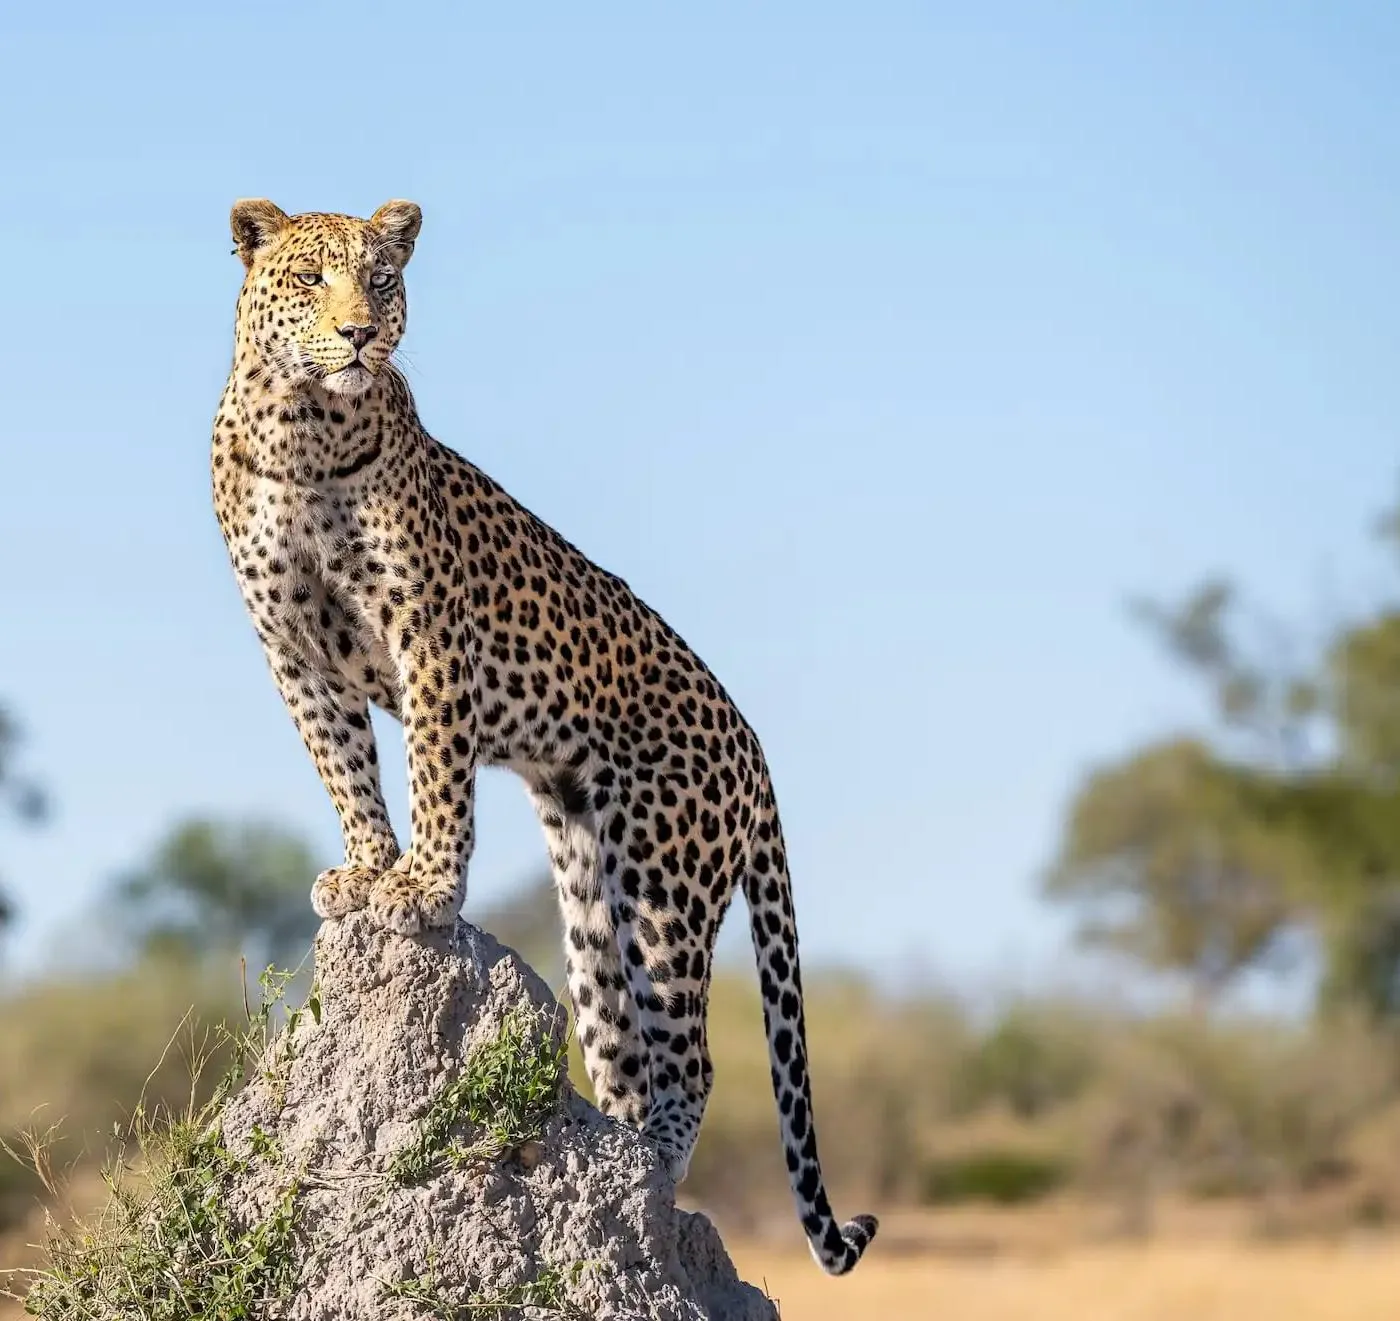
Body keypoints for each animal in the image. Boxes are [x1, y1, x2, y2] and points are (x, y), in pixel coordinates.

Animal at [211, 198, 878, 1275]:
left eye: (381, 279)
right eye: (311, 278)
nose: (358, 332)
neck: (302, 428)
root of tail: (754, 745)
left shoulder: (428, 635)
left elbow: (433, 774)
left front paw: (424, 886)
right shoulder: (291, 649)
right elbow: (344, 766)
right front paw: (366, 870)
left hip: (664, 884)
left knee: (692, 1059)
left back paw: (647, 1184)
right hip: (589, 895)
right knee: (621, 1053)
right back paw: (621, 1159)